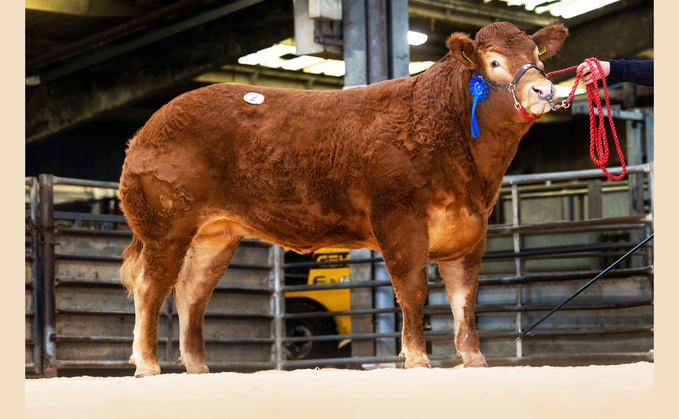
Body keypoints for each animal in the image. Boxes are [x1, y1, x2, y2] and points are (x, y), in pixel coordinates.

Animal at [121, 22, 568, 378]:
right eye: (493, 62)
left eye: (536, 57)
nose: (545, 89)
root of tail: (148, 127)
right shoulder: (399, 218)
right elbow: (413, 288)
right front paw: (417, 359)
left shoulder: (472, 230)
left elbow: (464, 298)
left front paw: (474, 359)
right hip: (165, 226)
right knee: (151, 286)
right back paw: (148, 365)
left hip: (214, 235)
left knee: (191, 292)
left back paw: (198, 367)